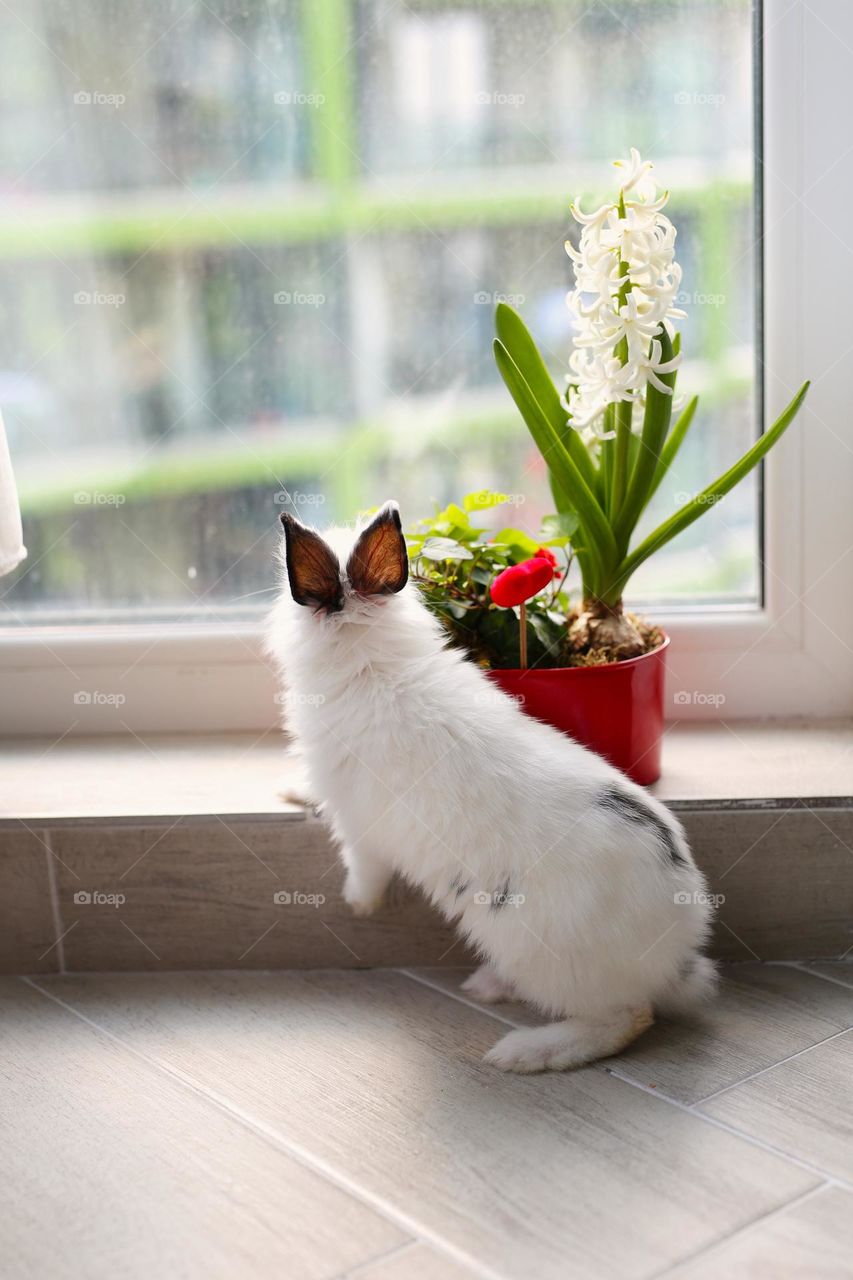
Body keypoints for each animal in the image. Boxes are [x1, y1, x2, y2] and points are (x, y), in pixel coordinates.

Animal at [267, 501, 718, 1072]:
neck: (373, 664)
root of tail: (677, 952)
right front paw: (288, 790)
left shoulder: (358, 818)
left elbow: (363, 864)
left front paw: (358, 904)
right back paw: (490, 989)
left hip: (546, 956)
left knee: (626, 1019)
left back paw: (523, 1052)